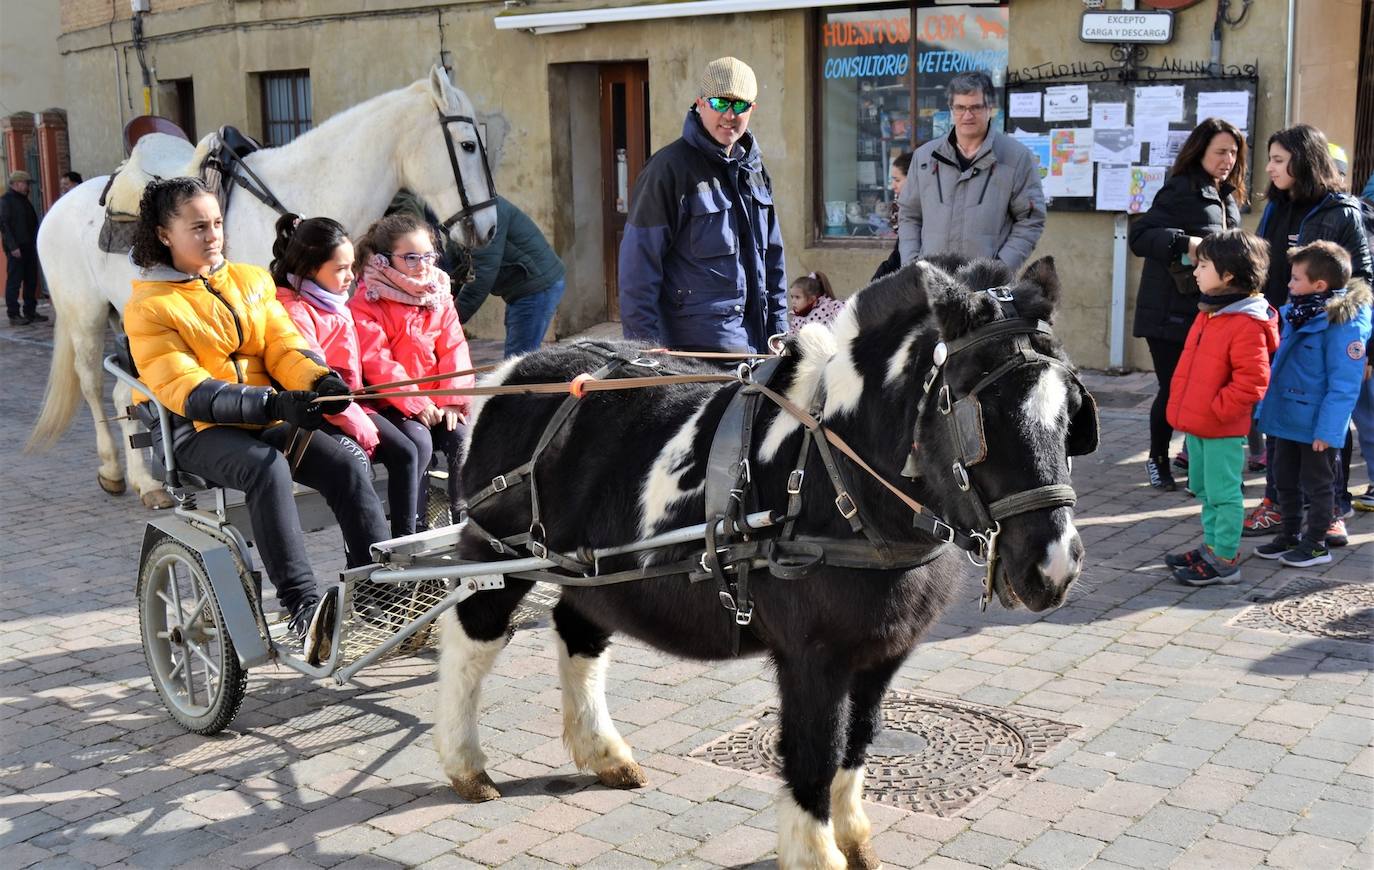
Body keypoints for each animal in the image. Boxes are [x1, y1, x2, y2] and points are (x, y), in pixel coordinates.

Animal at [26, 66, 497, 508]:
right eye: (468, 146)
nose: (490, 227)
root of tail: (59, 205)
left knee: (127, 392)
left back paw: (149, 483)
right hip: (84, 320)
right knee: (93, 386)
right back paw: (113, 470)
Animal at [439, 254, 1093, 863]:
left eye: (1071, 410)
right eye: (976, 407)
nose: (1053, 566)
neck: (836, 476)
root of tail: (515, 370)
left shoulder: (884, 652)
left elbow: (857, 742)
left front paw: (854, 839)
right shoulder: (813, 656)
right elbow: (813, 755)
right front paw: (817, 854)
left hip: (593, 570)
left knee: (579, 633)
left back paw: (605, 754)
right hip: (498, 555)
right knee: (474, 637)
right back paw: (466, 764)